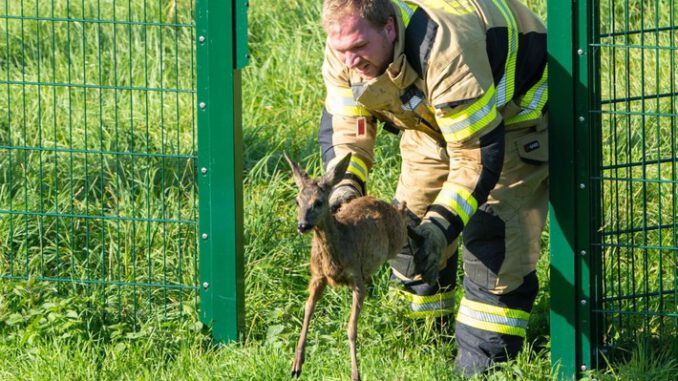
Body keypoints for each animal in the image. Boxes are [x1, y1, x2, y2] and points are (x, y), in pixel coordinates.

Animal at [282, 151, 406, 380]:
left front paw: (355, 374)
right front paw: (296, 364)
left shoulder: (356, 275)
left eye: (318, 202)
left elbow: (351, 328)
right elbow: (307, 310)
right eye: (296, 201)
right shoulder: (317, 277)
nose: (302, 225)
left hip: (397, 239)